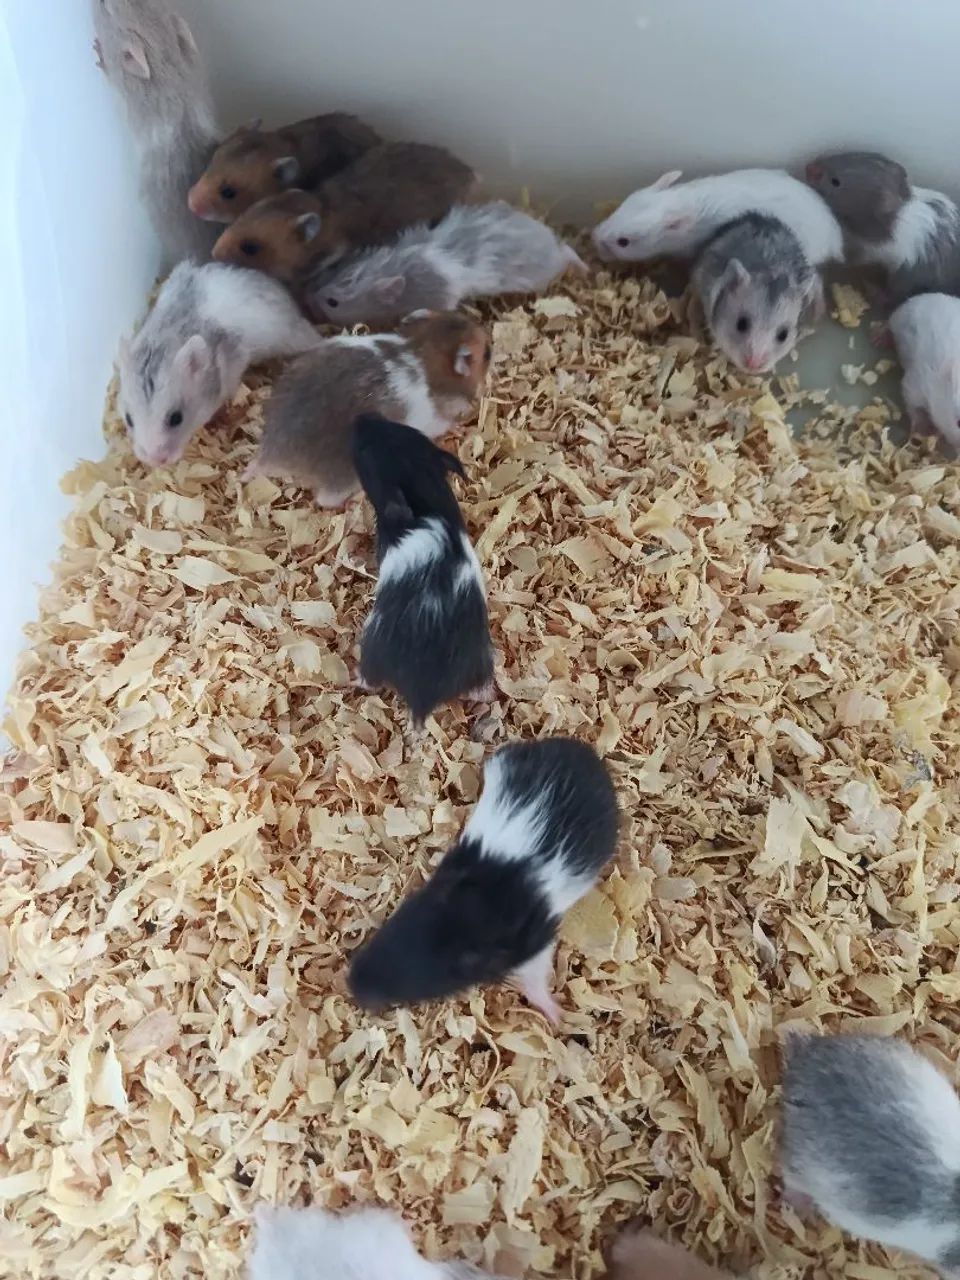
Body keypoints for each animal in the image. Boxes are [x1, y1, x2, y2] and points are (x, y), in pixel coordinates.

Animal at [244, 310, 489, 505]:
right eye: (486, 353)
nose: (490, 341)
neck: (423, 352)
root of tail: (271, 453)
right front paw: (460, 427)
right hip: (345, 476)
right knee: (326, 501)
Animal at [306, 201, 587, 326]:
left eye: (333, 302)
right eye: (333, 270)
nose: (312, 297)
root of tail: (548, 236)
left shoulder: (442, 298)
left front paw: (411, 318)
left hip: (546, 271)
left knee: (567, 253)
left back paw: (584, 267)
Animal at [348, 737, 620, 1023]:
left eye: (429, 984)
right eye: (393, 923)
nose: (352, 985)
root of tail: (586, 751)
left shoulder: (536, 941)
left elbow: (535, 980)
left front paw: (558, 1017)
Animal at [352, 413, 494, 725]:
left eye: (365, 455)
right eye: (401, 428)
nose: (360, 419)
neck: (426, 492)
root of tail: (423, 694)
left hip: (372, 647)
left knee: (369, 678)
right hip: (481, 658)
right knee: (483, 688)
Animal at [887, 293, 960, 453]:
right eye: (958, 422)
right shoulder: (916, 384)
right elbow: (914, 408)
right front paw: (922, 432)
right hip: (903, 314)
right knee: (889, 324)